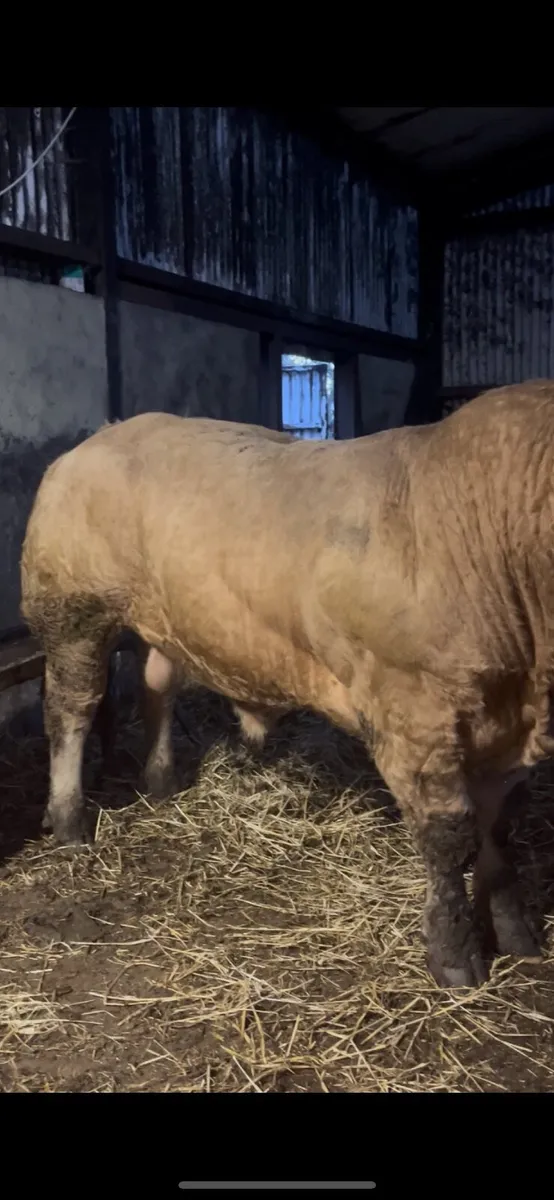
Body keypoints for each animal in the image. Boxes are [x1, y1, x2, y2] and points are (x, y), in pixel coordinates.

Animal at [20, 382, 554, 990]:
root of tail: (93, 441)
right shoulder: (415, 708)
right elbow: (450, 837)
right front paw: (456, 956)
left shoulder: (502, 724)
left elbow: (500, 825)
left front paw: (517, 933)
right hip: (72, 610)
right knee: (72, 708)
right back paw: (69, 820)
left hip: (164, 620)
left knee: (157, 688)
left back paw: (161, 781)